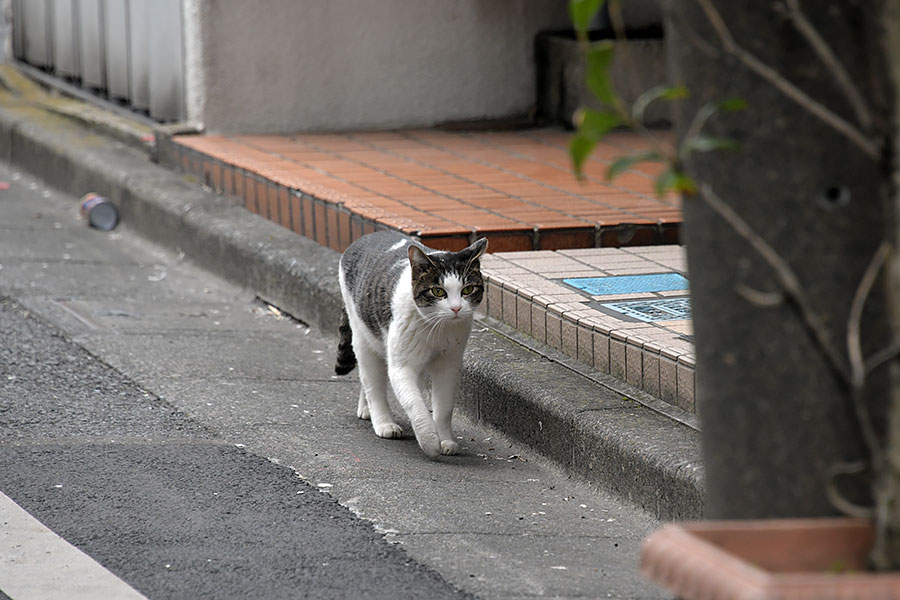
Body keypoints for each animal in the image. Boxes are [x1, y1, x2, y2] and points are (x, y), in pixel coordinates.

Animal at [332, 232, 486, 458]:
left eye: (468, 289)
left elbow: (444, 407)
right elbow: (415, 404)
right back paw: (383, 422)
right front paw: (430, 441)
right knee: (372, 380)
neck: (437, 328)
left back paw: (366, 408)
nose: (456, 308)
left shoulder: (450, 365)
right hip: (362, 334)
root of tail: (363, 238)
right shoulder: (402, 367)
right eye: (438, 291)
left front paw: (445, 439)